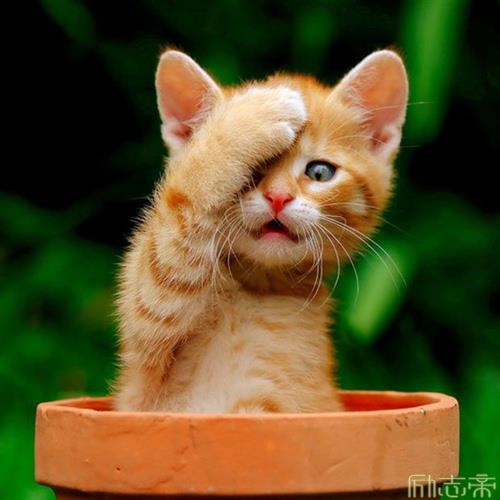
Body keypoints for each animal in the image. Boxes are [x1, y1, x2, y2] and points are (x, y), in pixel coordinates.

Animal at [113, 48, 408, 413]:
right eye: (252, 171)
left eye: (320, 172)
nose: (278, 197)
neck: (258, 288)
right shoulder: (142, 368)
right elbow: (169, 242)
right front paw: (246, 121)